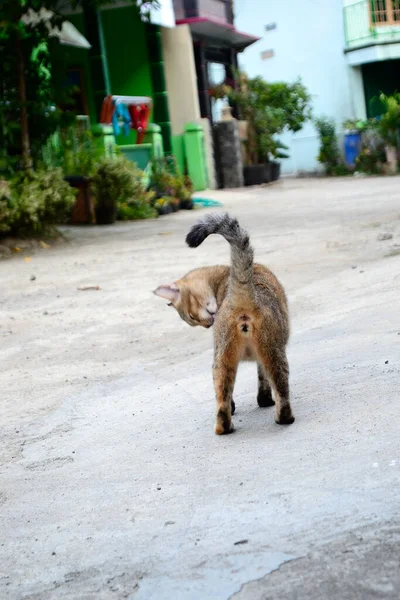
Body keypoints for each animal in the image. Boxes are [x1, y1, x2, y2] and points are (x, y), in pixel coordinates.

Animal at [153, 213, 294, 434]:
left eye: (192, 317)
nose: (206, 325)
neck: (223, 275)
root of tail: (244, 299)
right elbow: (262, 378)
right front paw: (264, 400)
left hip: (227, 358)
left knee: (223, 397)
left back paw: (224, 426)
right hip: (271, 349)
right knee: (279, 388)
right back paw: (284, 418)